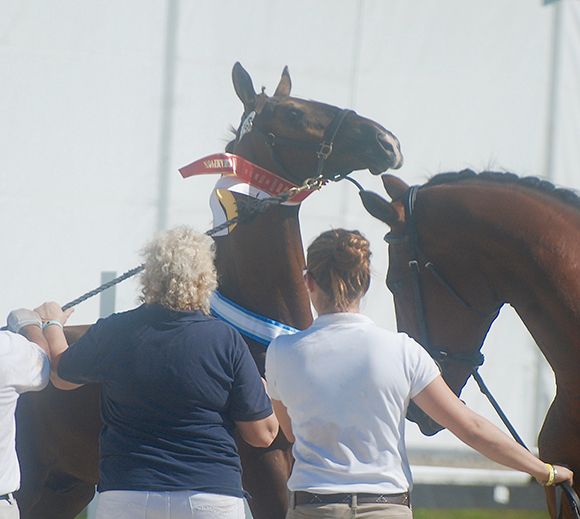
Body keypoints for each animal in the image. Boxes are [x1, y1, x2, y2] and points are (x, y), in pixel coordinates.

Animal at [14, 62, 404, 519]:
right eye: (292, 113)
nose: (386, 142)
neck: (263, 340)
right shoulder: (264, 470)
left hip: (64, 488)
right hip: (28, 485)